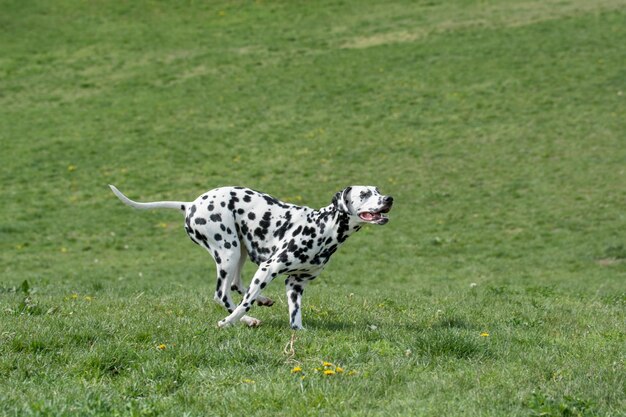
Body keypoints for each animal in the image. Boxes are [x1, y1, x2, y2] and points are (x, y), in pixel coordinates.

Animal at [107, 184, 390, 328]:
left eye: (378, 190)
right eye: (365, 194)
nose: (389, 198)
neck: (323, 227)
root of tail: (190, 205)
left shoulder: (295, 284)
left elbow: (295, 315)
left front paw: (298, 331)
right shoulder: (269, 267)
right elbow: (243, 304)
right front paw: (228, 322)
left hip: (240, 251)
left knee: (237, 286)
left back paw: (261, 301)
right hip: (228, 251)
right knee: (223, 294)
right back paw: (245, 319)